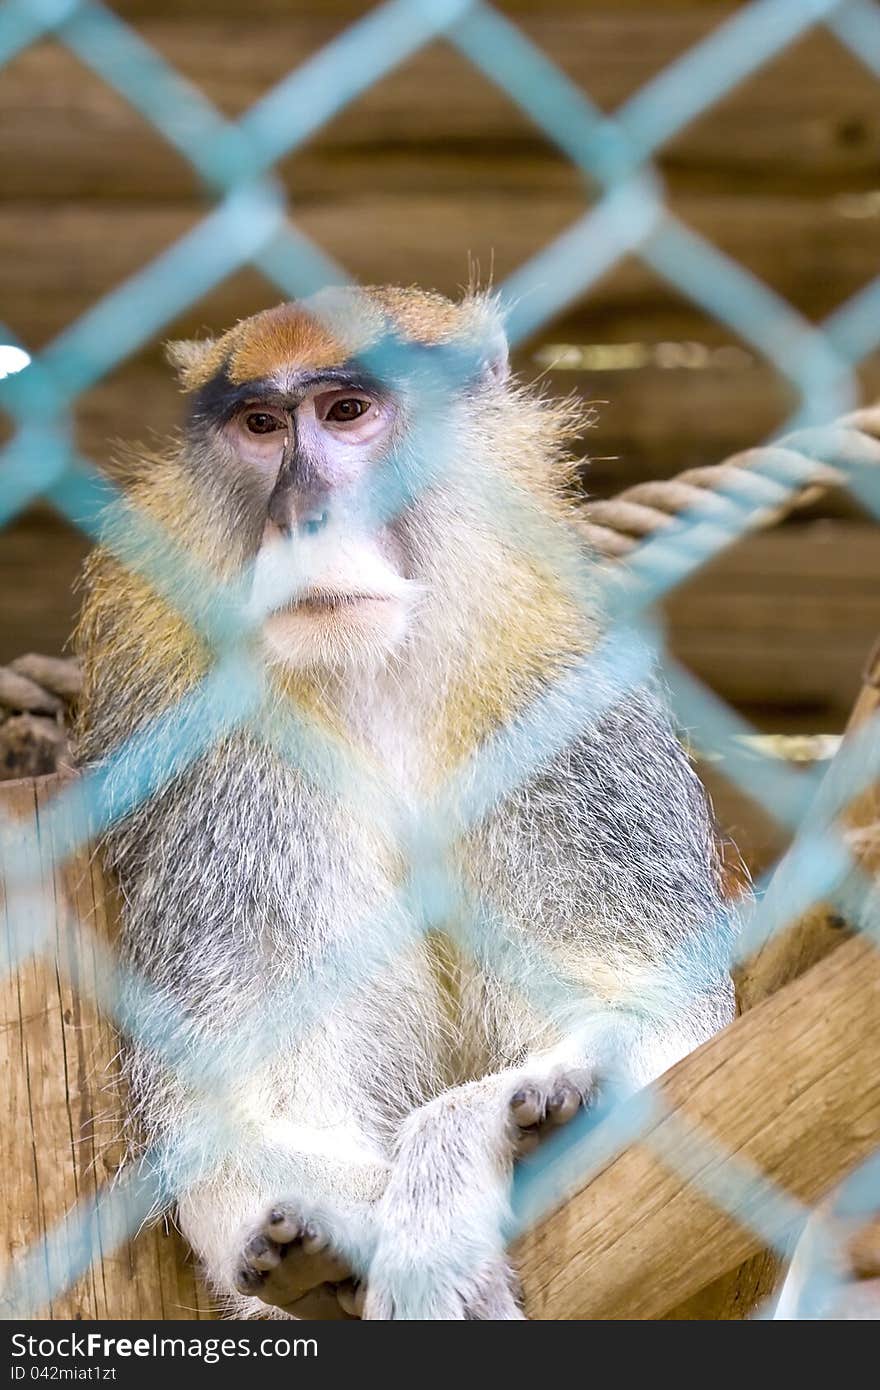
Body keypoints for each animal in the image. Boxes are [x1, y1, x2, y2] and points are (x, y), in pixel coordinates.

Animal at [73, 282, 734, 1312]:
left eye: (347, 412)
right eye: (261, 425)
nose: (299, 515)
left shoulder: (561, 694)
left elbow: (664, 1029)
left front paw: (458, 1163)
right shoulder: (219, 751)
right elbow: (240, 1121)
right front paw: (332, 1224)